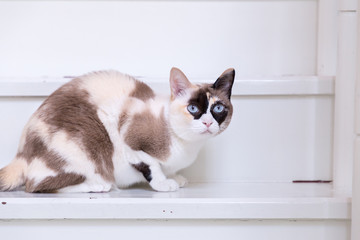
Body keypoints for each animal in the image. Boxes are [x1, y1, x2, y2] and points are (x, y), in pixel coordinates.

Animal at [0, 67, 235, 193]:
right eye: (193, 108)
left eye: (218, 108)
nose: (207, 123)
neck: (188, 145)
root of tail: (21, 152)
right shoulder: (127, 137)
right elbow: (152, 167)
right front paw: (164, 183)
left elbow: (169, 170)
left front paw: (176, 177)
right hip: (84, 149)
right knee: (37, 185)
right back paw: (98, 186)